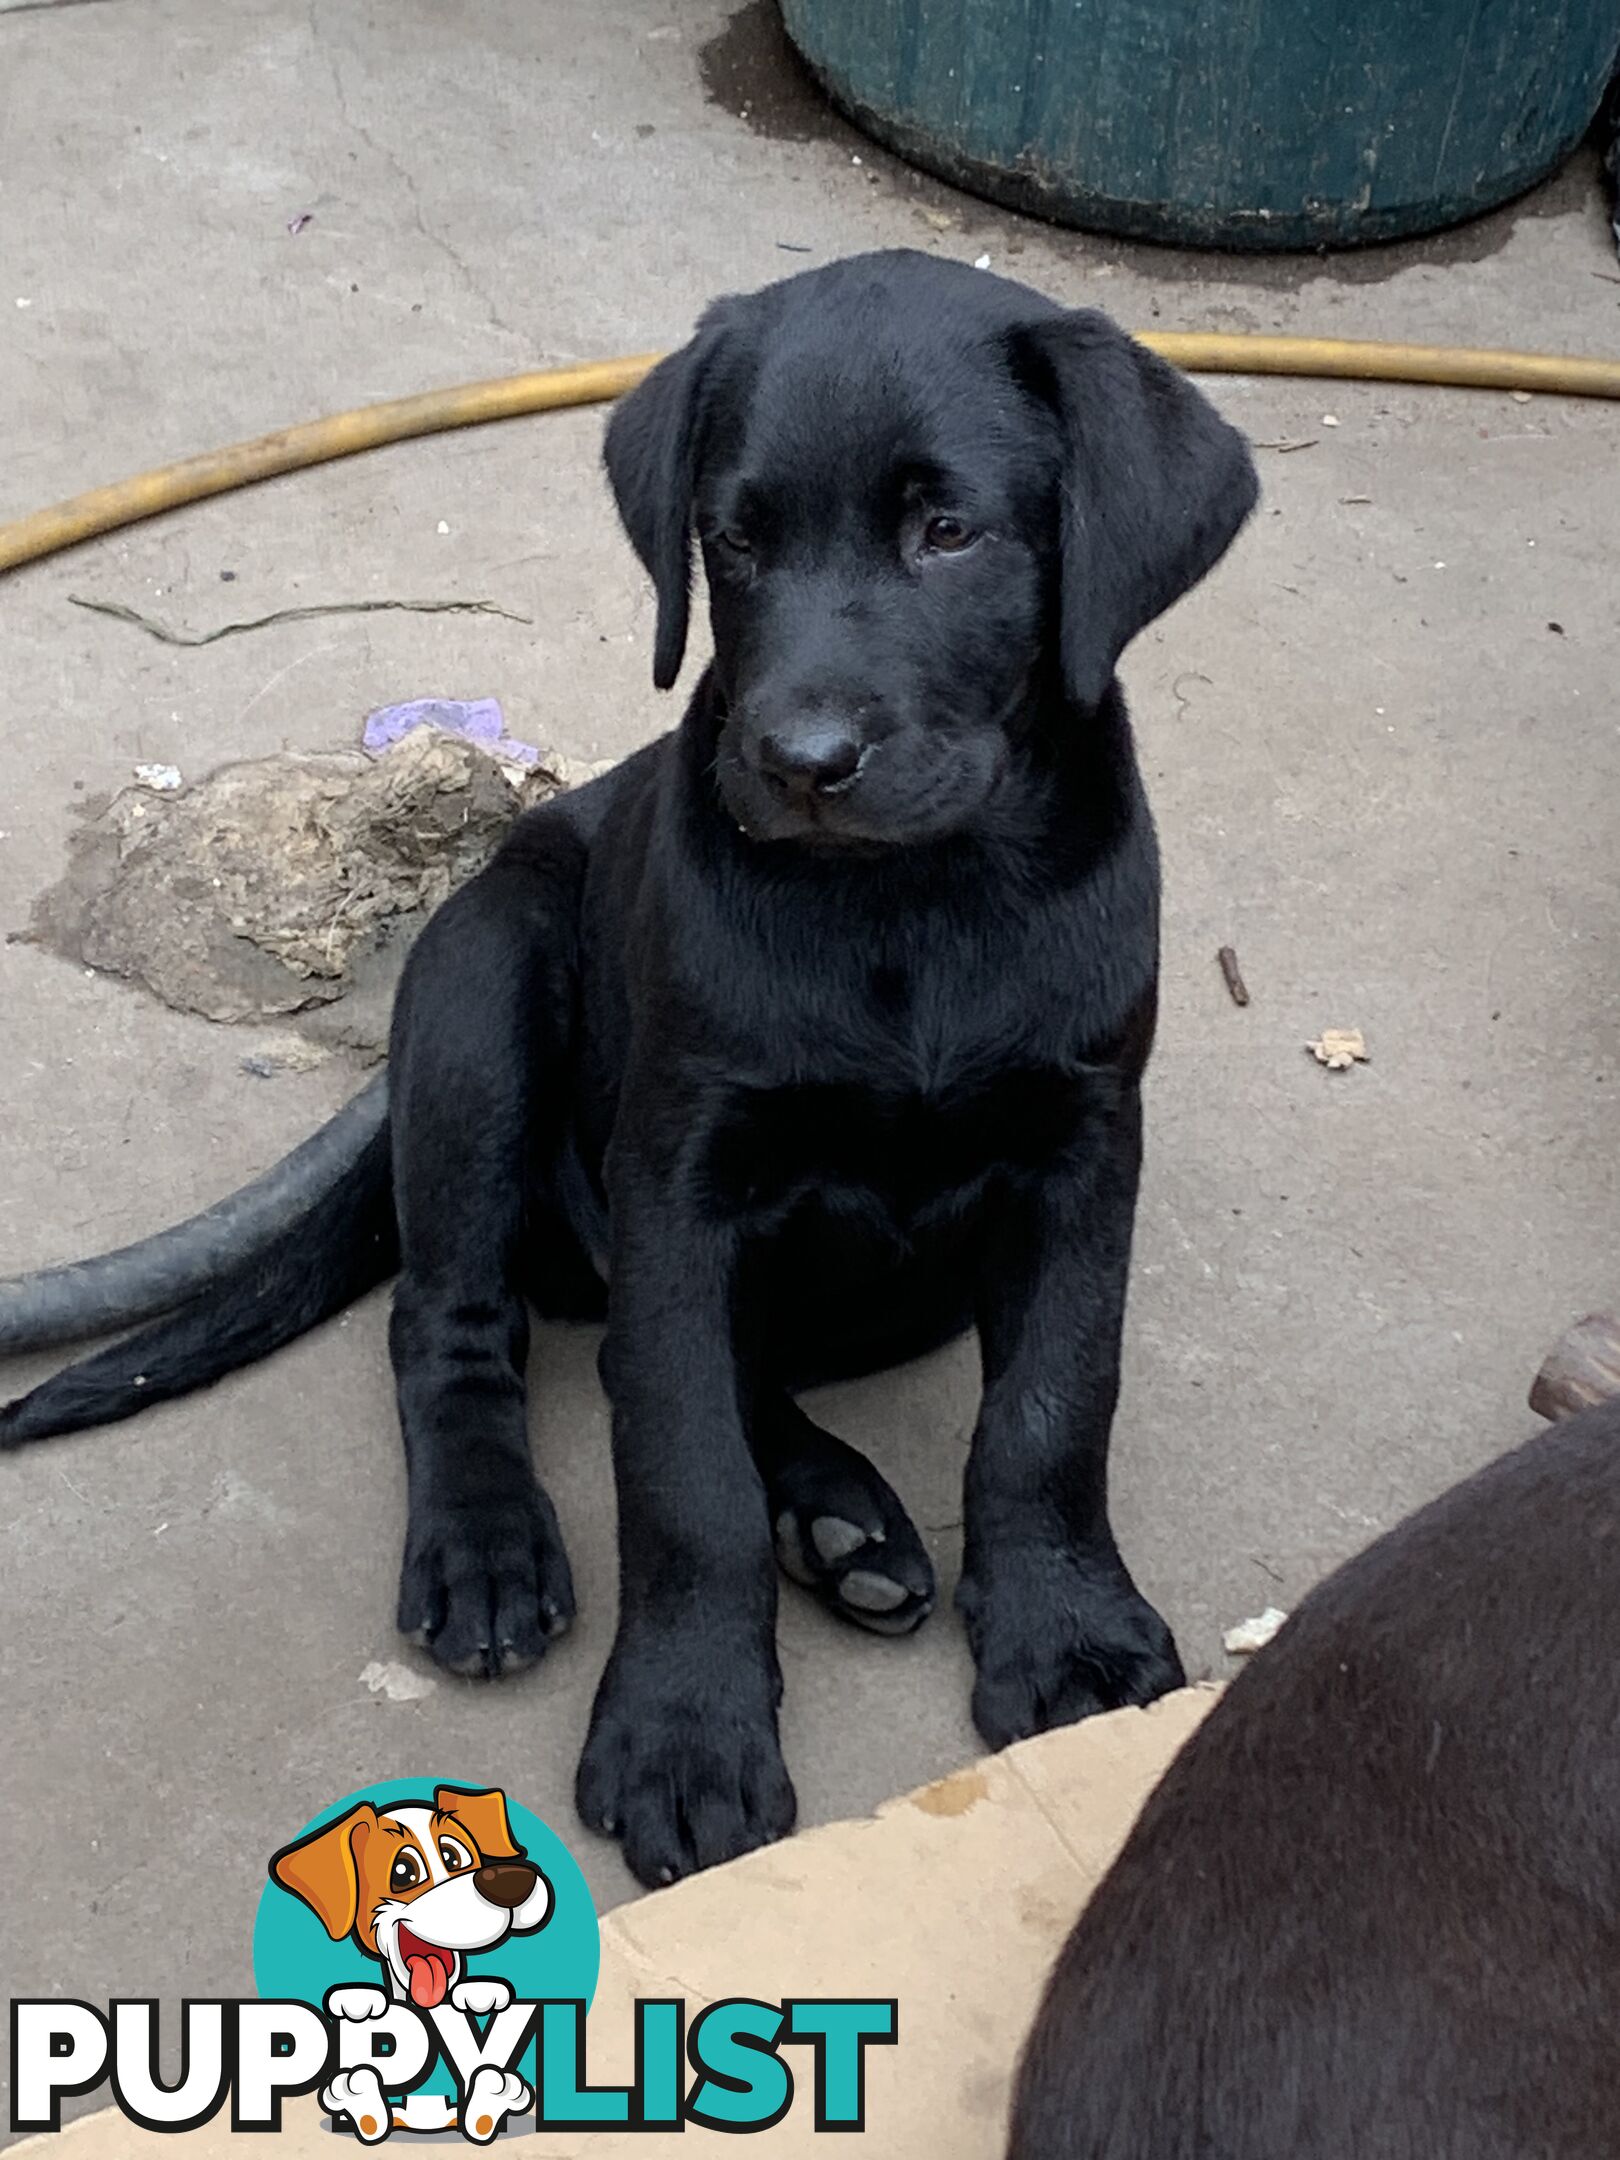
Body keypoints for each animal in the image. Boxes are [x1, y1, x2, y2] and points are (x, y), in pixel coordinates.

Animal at [0, 252, 1261, 1883]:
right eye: (737, 536)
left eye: (950, 531)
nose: (798, 761)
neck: (911, 906)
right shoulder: (681, 1171)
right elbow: (680, 1468)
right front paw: (685, 1731)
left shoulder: (1084, 1145)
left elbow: (1051, 1403)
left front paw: (1068, 1632)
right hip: (481, 995)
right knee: (470, 1328)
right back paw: (493, 1541)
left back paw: (840, 1520)